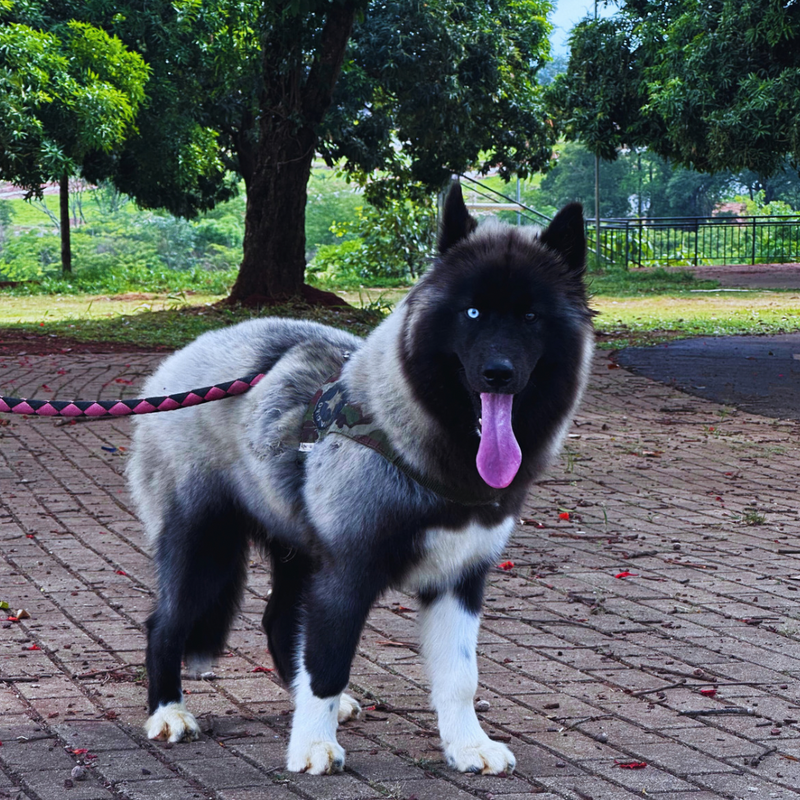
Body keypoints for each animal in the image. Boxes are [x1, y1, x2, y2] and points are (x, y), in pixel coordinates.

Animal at [128, 183, 592, 776]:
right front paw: (312, 745)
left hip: (295, 553)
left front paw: (467, 745)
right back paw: (168, 712)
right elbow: (327, 663)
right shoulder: (345, 574)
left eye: (531, 316)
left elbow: (460, 677)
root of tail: (175, 368)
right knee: (165, 625)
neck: (416, 443)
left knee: (278, 622)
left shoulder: (459, 579)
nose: (499, 375)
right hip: (204, 547)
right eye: (472, 311)